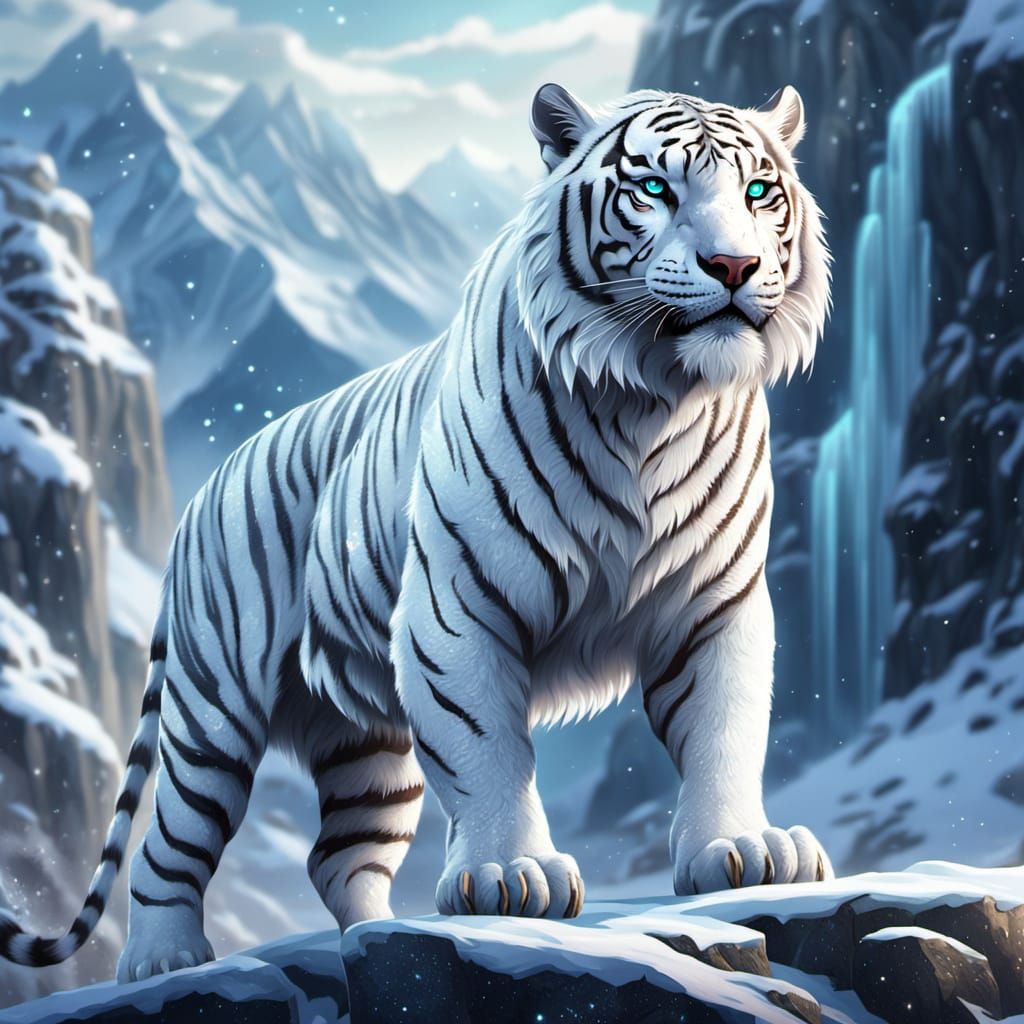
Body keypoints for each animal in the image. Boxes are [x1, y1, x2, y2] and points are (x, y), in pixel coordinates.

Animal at [0, 81, 833, 983]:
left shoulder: (715, 603)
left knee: (339, 857)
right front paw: (513, 874)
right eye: (654, 189)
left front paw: (743, 851)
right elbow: (488, 749)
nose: (734, 266)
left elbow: (725, 728)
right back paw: (164, 960)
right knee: (168, 841)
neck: (651, 400)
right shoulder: (461, 608)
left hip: (365, 747)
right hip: (214, 708)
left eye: (759, 192)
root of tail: (201, 492)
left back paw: (372, 936)